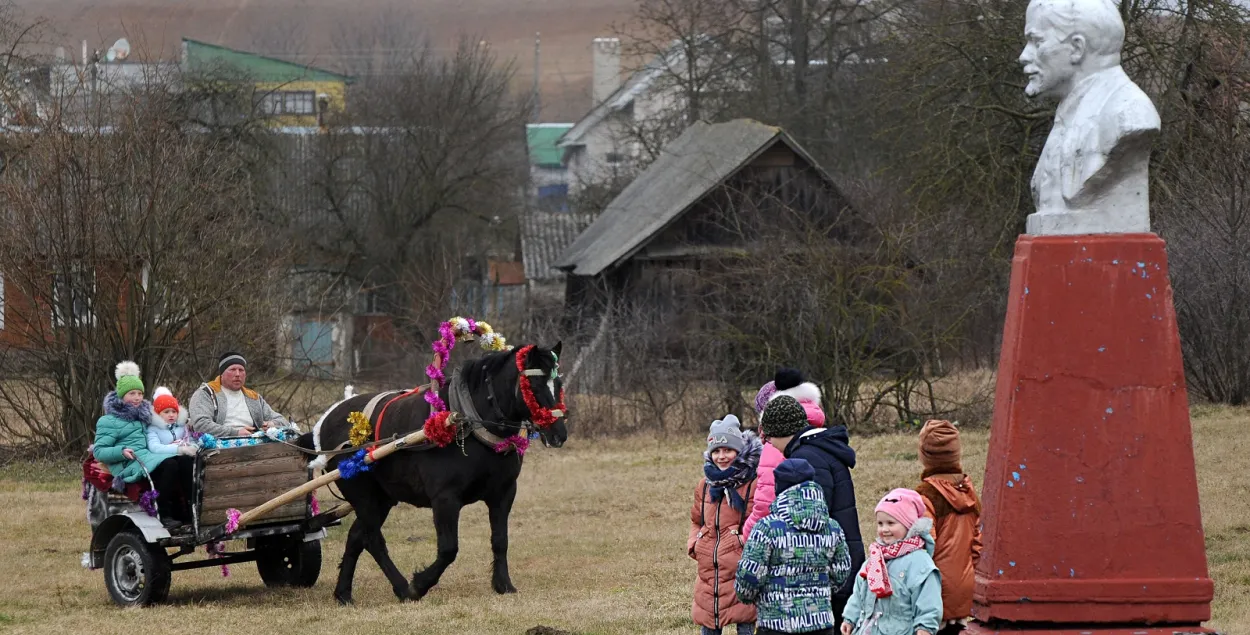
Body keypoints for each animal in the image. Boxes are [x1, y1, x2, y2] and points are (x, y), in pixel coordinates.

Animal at [300, 342, 565, 605]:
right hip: (362, 495)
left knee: (357, 536)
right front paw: (420, 584)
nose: (559, 434)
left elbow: (500, 540)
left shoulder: (504, 493)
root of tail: (326, 422)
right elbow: (448, 549)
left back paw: (344, 593)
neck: (468, 420)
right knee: (373, 539)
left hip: (382, 498)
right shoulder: (445, 498)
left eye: (559, 385)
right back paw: (403, 588)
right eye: (534, 386)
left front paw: (503, 585)